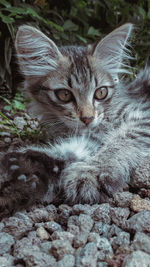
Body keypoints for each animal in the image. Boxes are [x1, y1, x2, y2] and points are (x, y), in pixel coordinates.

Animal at [0, 23, 150, 214]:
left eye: (101, 92)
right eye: (64, 95)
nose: (88, 118)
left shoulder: (142, 117)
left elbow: (119, 142)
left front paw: (92, 171)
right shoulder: (87, 136)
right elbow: (71, 150)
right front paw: (27, 169)